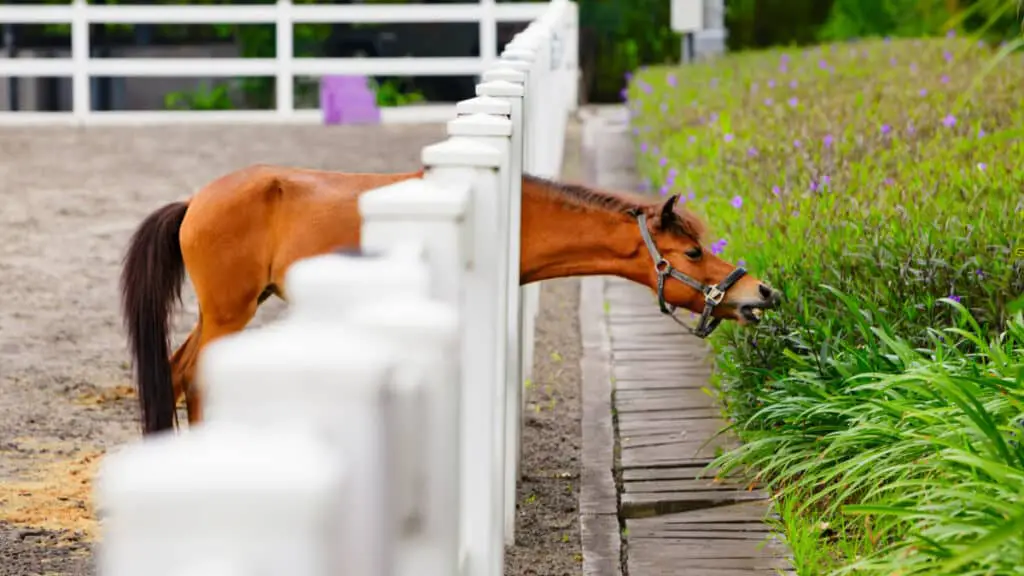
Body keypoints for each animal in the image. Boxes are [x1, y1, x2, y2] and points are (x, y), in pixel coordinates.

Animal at [117, 163, 774, 432]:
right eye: (693, 252)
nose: (759, 291)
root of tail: (195, 202)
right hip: (229, 313)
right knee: (194, 377)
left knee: (175, 372)